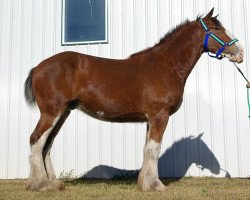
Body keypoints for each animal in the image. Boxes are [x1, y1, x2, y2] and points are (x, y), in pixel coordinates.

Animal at [25, 8, 244, 192]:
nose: (240, 52)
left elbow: (147, 149)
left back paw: (53, 183)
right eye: (217, 28)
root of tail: (37, 67)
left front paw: (144, 183)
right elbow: (154, 149)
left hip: (63, 113)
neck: (165, 65)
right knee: (36, 140)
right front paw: (156, 185)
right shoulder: (159, 116)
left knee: (47, 144)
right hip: (51, 112)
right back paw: (41, 184)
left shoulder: (150, 119)